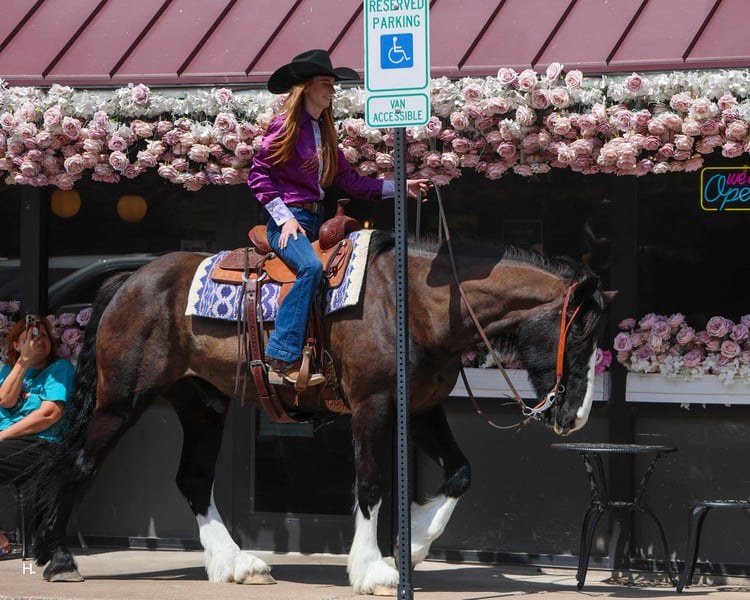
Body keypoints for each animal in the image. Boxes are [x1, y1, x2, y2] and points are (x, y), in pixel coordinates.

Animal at [29, 230, 611, 595]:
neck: (414, 306)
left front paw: (414, 545)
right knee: (78, 465)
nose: (578, 418)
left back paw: (236, 563)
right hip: (121, 402)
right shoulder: (373, 405)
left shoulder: (422, 410)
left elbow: (461, 473)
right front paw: (373, 569)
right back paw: (56, 559)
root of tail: (127, 281)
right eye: (582, 332)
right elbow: (371, 485)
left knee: (193, 479)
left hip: (202, 404)